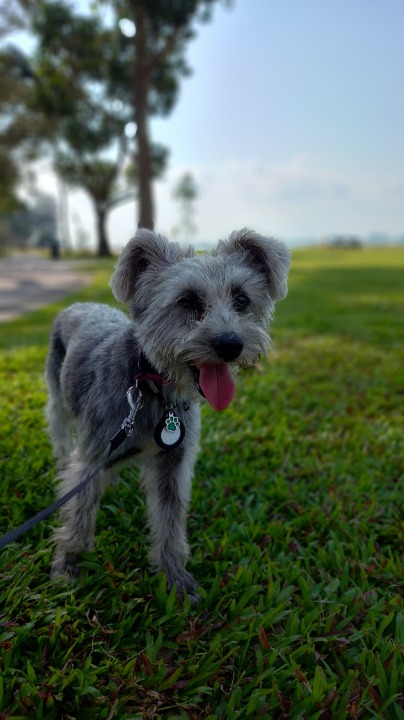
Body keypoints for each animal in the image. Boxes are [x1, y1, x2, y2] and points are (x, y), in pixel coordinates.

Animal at [46, 226, 290, 596]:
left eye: (242, 300)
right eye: (187, 301)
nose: (230, 344)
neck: (151, 389)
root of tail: (77, 305)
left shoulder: (173, 464)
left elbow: (170, 522)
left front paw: (174, 576)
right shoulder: (92, 453)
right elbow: (79, 512)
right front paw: (68, 565)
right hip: (58, 400)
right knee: (61, 439)